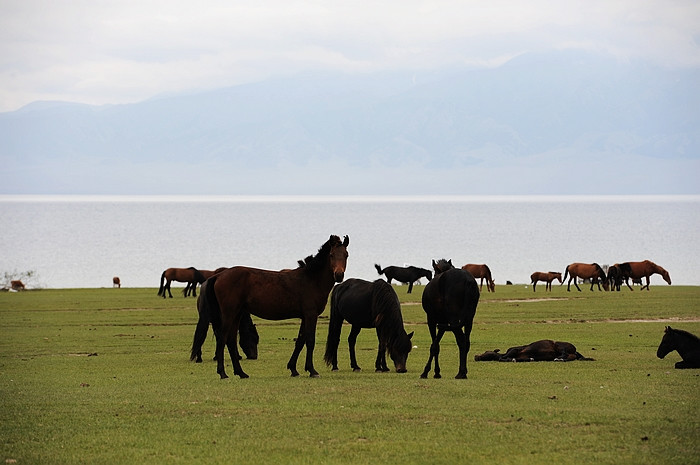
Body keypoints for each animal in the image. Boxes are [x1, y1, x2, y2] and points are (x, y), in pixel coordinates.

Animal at [193, 234, 348, 378]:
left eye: (346, 255)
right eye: (331, 255)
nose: (339, 275)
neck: (311, 279)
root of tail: (219, 275)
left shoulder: (305, 316)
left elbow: (300, 341)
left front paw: (293, 369)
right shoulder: (311, 315)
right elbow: (310, 341)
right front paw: (312, 370)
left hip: (237, 314)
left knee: (231, 340)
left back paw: (241, 373)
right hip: (229, 314)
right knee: (222, 339)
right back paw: (223, 373)